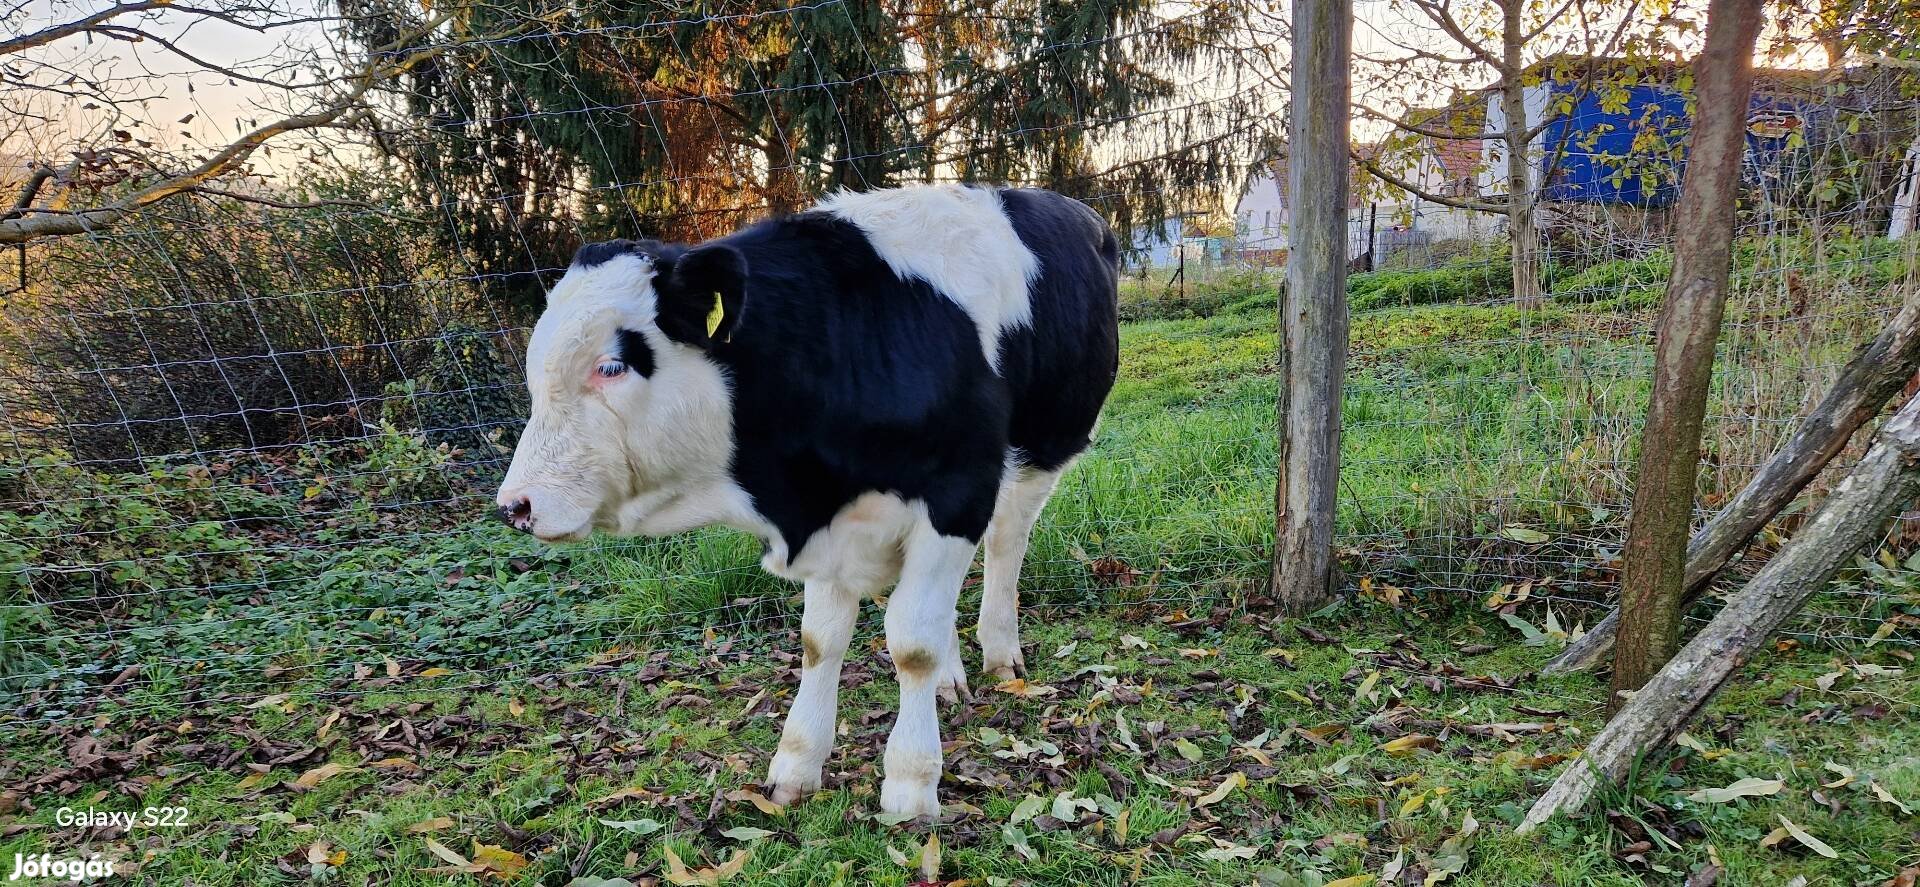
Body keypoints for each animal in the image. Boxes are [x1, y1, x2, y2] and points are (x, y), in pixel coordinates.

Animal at [495, 185, 1121, 817]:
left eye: (612, 366)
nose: (515, 505)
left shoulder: (958, 489)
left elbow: (912, 642)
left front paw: (911, 782)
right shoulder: (833, 522)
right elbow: (822, 640)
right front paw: (797, 764)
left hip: (1038, 453)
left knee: (1005, 543)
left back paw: (999, 650)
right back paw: (951, 677)